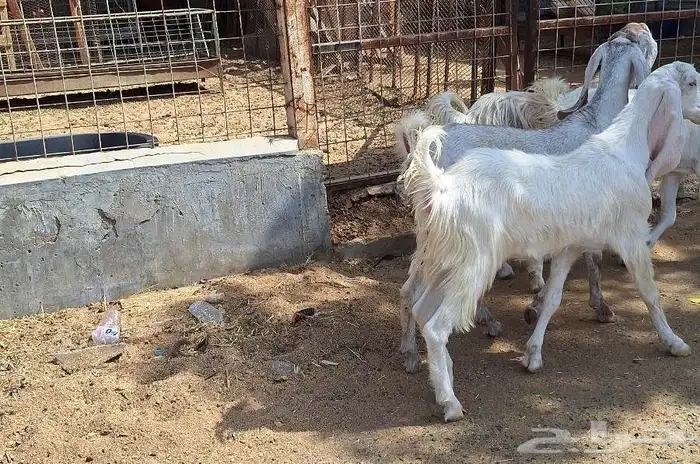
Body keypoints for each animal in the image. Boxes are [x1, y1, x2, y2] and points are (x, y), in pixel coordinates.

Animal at [401, 61, 700, 422]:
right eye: (692, 82)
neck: (623, 151)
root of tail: (440, 187)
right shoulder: (630, 236)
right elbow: (649, 292)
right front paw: (674, 342)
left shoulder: (569, 247)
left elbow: (554, 298)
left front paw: (533, 354)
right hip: (471, 266)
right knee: (436, 327)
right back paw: (450, 402)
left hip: (442, 261)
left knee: (418, 307)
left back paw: (440, 372)